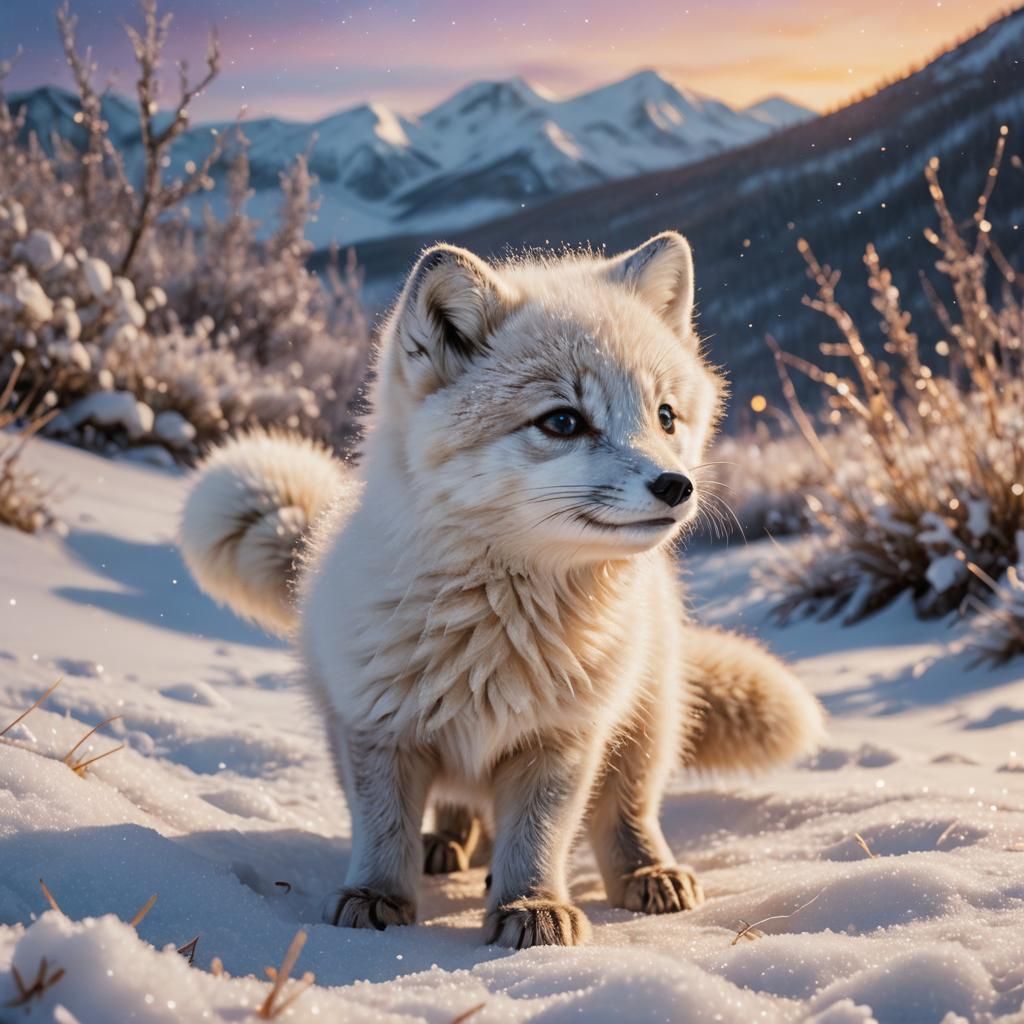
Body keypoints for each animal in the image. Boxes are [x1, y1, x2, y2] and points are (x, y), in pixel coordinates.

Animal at [179, 232, 824, 948]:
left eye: (665, 416)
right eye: (563, 421)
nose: (676, 486)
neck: (499, 633)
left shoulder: (561, 740)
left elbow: (537, 839)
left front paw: (530, 907)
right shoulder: (377, 731)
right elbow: (383, 831)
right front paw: (377, 897)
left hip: (641, 727)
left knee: (626, 816)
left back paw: (648, 874)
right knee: (456, 810)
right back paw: (446, 846)